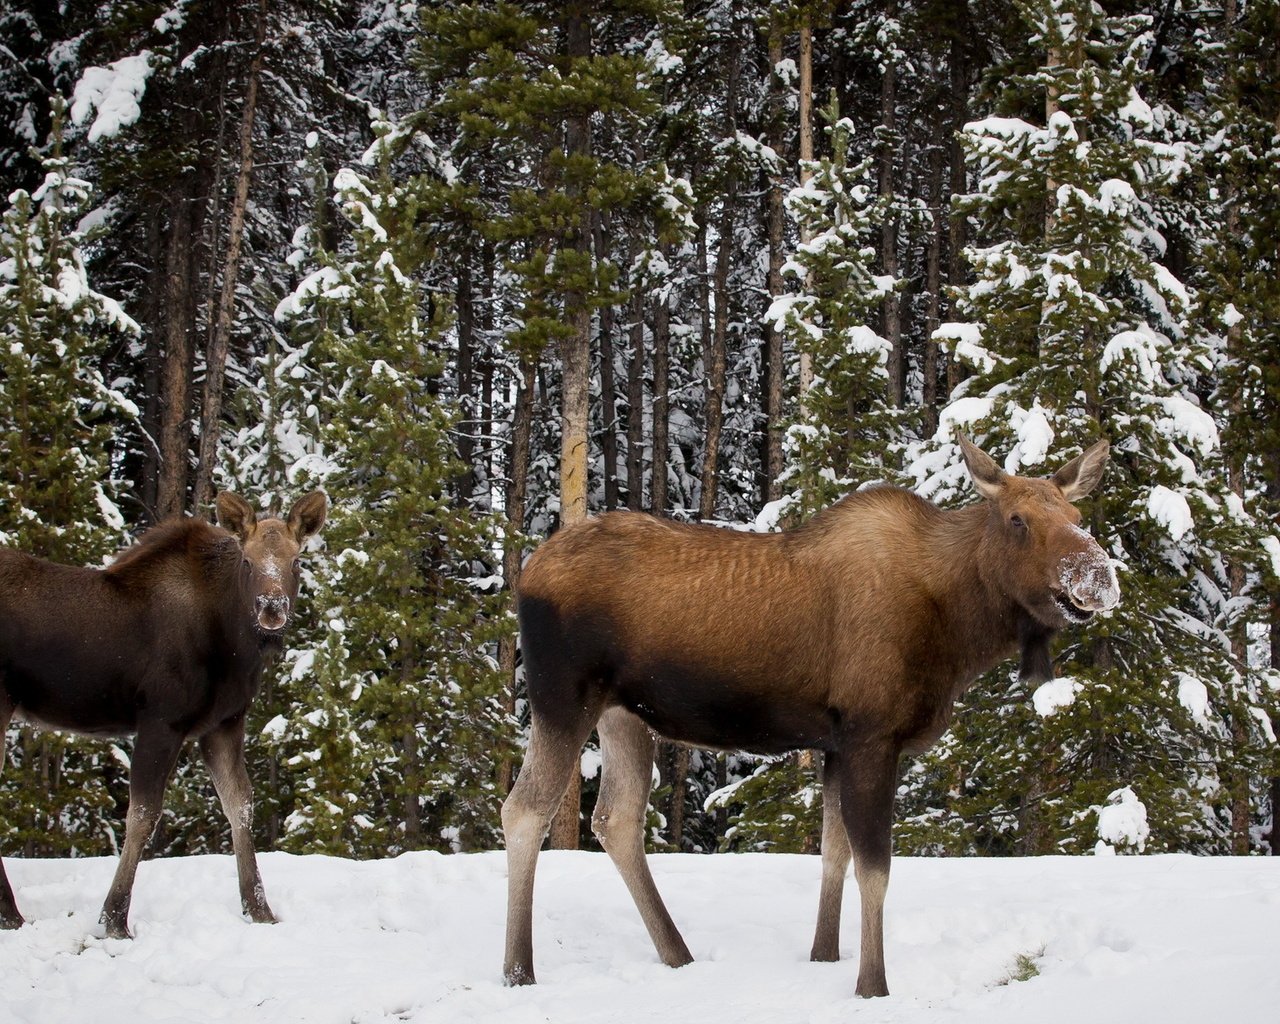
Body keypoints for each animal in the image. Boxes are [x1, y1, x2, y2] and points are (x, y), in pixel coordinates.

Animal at [0, 491, 325, 942]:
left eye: (296, 561)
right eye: (247, 561)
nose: (272, 607)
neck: (234, 644)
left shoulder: (224, 723)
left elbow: (240, 805)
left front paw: (260, 910)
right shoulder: (161, 721)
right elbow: (142, 815)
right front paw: (114, 921)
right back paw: (10, 914)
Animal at [501, 435, 1121, 998]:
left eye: (1077, 515)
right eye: (1017, 519)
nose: (1099, 576)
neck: (958, 631)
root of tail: (524, 576)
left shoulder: (835, 745)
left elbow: (833, 852)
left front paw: (824, 956)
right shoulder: (872, 735)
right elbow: (875, 867)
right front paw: (872, 985)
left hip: (624, 714)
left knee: (616, 819)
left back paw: (677, 954)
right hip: (563, 697)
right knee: (525, 810)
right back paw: (518, 971)